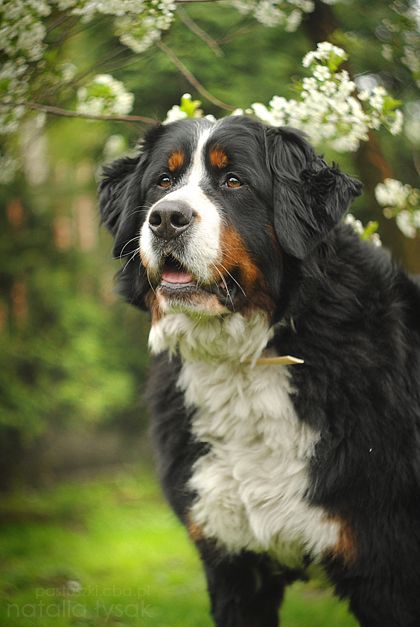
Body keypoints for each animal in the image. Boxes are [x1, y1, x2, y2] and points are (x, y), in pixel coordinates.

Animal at [99, 115, 420, 627]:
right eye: (163, 182)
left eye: (235, 181)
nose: (166, 218)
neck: (242, 365)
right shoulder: (233, 566)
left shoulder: (386, 568)